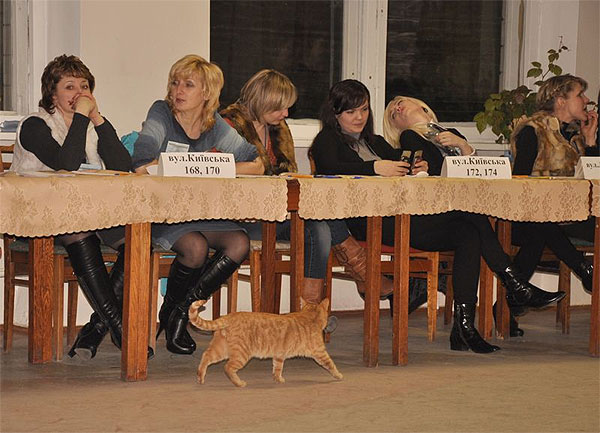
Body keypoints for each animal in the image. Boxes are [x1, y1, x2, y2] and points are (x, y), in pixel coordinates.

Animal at [188, 298, 343, 387]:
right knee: (228, 367)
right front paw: (339, 375)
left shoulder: (279, 355)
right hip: (241, 355)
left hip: (221, 349)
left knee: (206, 357)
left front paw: (278, 379)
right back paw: (239, 383)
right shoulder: (320, 353)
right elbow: (331, 364)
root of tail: (229, 315)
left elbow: (277, 368)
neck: (309, 317)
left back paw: (200, 378)